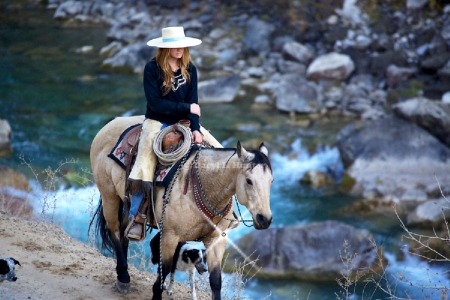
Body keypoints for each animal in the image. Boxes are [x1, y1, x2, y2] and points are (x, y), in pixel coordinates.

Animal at [89, 115, 272, 300]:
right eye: (249, 181)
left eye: (271, 180)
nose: (265, 219)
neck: (206, 186)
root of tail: (113, 123)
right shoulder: (169, 236)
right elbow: (163, 273)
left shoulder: (217, 240)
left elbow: (215, 280)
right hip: (109, 196)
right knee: (115, 231)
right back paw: (123, 278)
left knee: (125, 231)